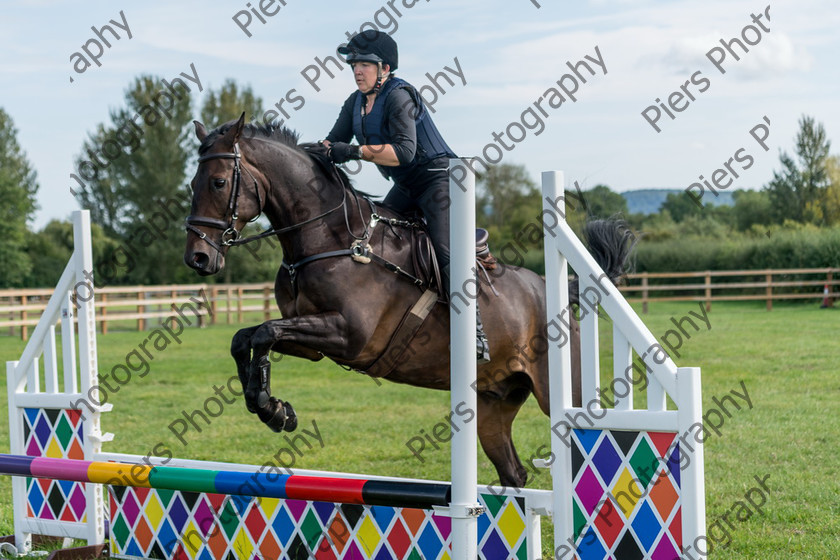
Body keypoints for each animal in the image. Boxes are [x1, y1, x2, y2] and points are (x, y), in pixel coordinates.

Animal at [182, 114, 632, 486]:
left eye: (219, 182)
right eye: (192, 184)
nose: (198, 258)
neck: (329, 238)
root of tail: (552, 293)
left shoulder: (349, 335)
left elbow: (263, 333)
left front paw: (270, 407)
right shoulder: (312, 342)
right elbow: (248, 337)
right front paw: (271, 407)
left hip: (562, 394)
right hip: (494, 403)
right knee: (514, 475)